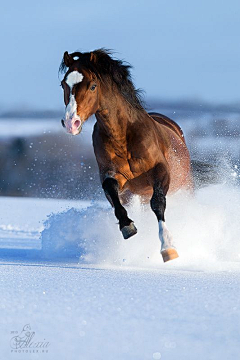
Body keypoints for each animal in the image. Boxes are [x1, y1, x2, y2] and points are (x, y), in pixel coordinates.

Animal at [59, 48, 193, 262]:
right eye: (64, 84)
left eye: (93, 86)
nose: (71, 122)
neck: (123, 136)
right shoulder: (114, 176)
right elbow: (112, 192)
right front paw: (127, 226)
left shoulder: (161, 171)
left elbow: (158, 202)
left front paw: (168, 248)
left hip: (185, 187)